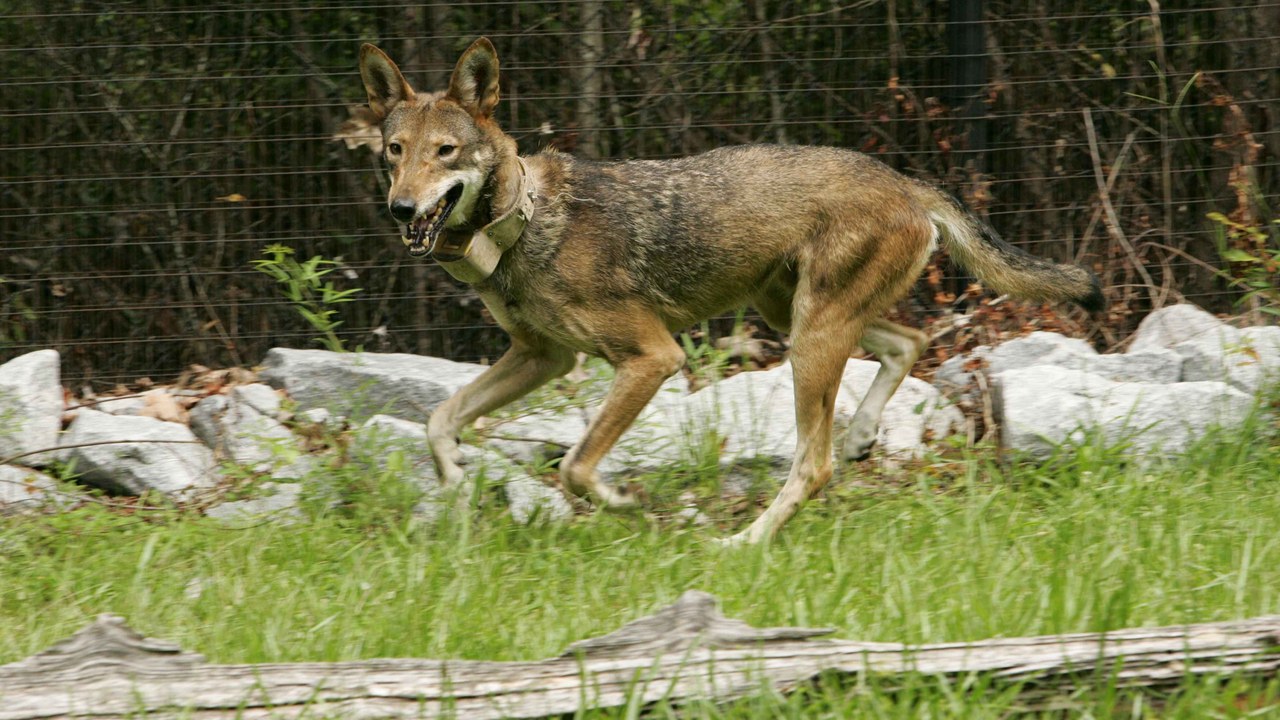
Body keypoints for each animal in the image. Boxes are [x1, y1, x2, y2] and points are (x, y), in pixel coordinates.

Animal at [347, 38, 1103, 544]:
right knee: (907, 343)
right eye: (395, 152)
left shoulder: (653, 359)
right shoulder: (543, 358)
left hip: (808, 340)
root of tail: (906, 183)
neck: (526, 221)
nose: (401, 210)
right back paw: (859, 436)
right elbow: (440, 420)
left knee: (815, 464)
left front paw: (626, 505)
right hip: (794, 317)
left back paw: (746, 542)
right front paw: (454, 482)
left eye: (445, 153)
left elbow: (576, 468)